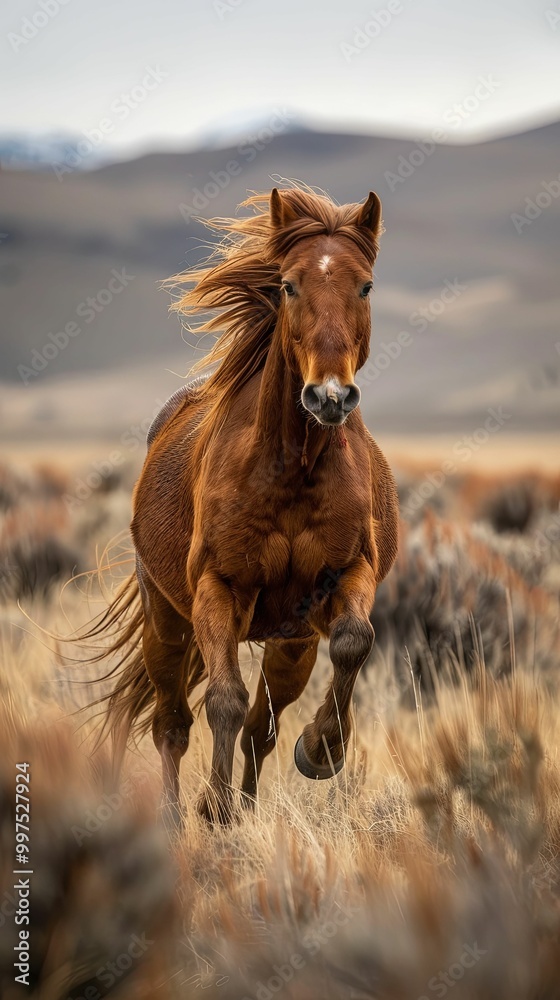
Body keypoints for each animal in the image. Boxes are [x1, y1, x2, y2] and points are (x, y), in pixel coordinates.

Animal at [91, 185, 399, 825]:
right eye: (288, 285)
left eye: (365, 286)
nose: (329, 396)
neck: (294, 470)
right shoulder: (219, 587)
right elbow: (224, 701)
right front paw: (214, 804)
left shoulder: (346, 576)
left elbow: (354, 642)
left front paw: (322, 750)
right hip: (167, 622)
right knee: (172, 723)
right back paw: (176, 817)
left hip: (292, 639)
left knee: (264, 726)